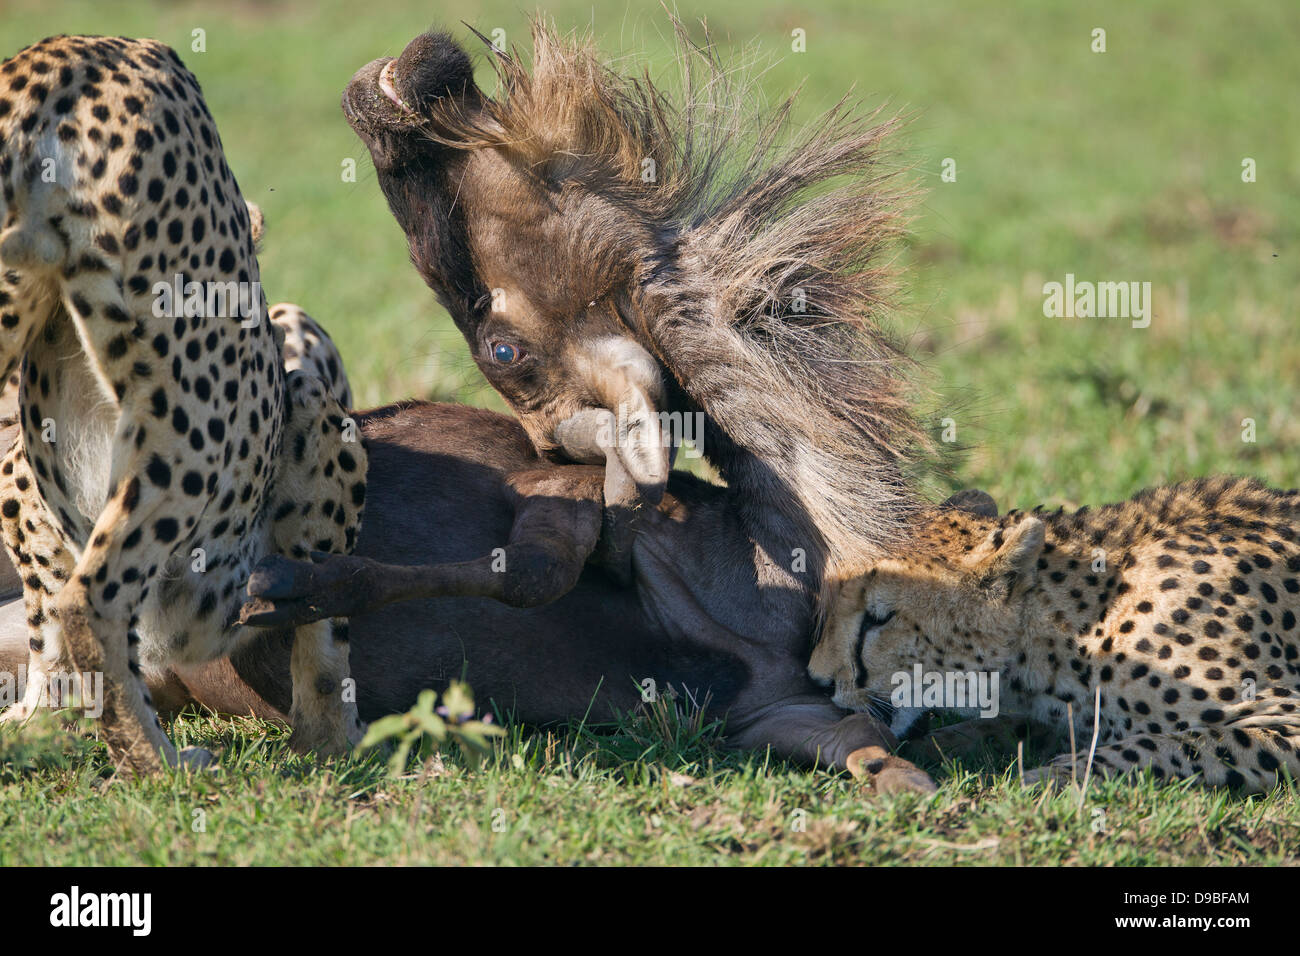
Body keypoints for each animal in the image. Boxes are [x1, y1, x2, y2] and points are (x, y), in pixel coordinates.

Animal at [806, 478, 1300, 790]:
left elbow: (1168, 744)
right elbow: (1008, 725)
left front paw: (1051, 777)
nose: (817, 679)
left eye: (878, 618)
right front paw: (939, 744)